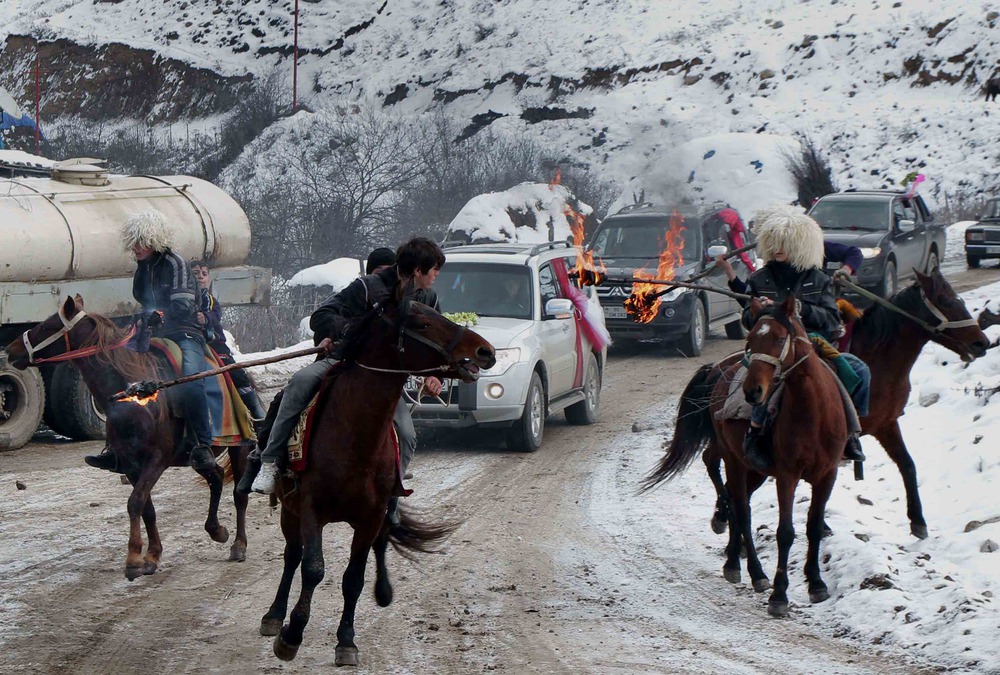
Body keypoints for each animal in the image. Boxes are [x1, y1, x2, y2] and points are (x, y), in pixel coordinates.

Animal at [4, 296, 254, 580]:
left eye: (47, 326)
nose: (11, 350)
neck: (131, 393)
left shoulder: (156, 460)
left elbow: (135, 502)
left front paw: (134, 559)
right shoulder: (131, 463)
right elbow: (147, 508)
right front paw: (152, 556)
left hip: (239, 447)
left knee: (239, 494)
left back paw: (239, 544)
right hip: (197, 457)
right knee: (215, 477)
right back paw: (216, 530)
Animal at [258, 292, 492, 664]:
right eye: (422, 323)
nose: (485, 351)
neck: (354, 436)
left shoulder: (371, 515)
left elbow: (353, 577)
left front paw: (346, 641)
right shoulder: (310, 509)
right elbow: (313, 568)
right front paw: (291, 634)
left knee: (381, 542)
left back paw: (383, 591)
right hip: (288, 508)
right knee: (292, 555)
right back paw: (274, 615)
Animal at [644, 296, 848, 616]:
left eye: (780, 339)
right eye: (750, 339)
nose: (753, 391)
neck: (814, 414)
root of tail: (719, 370)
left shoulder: (828, 474)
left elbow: (814, 526)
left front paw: (816, 584)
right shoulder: (787, 476)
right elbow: (785, 532)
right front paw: (779, 594)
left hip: (756, 469)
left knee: (733, 498)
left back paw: (732, 553)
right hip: (735, 460)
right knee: (740, 506)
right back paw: (752, 571)